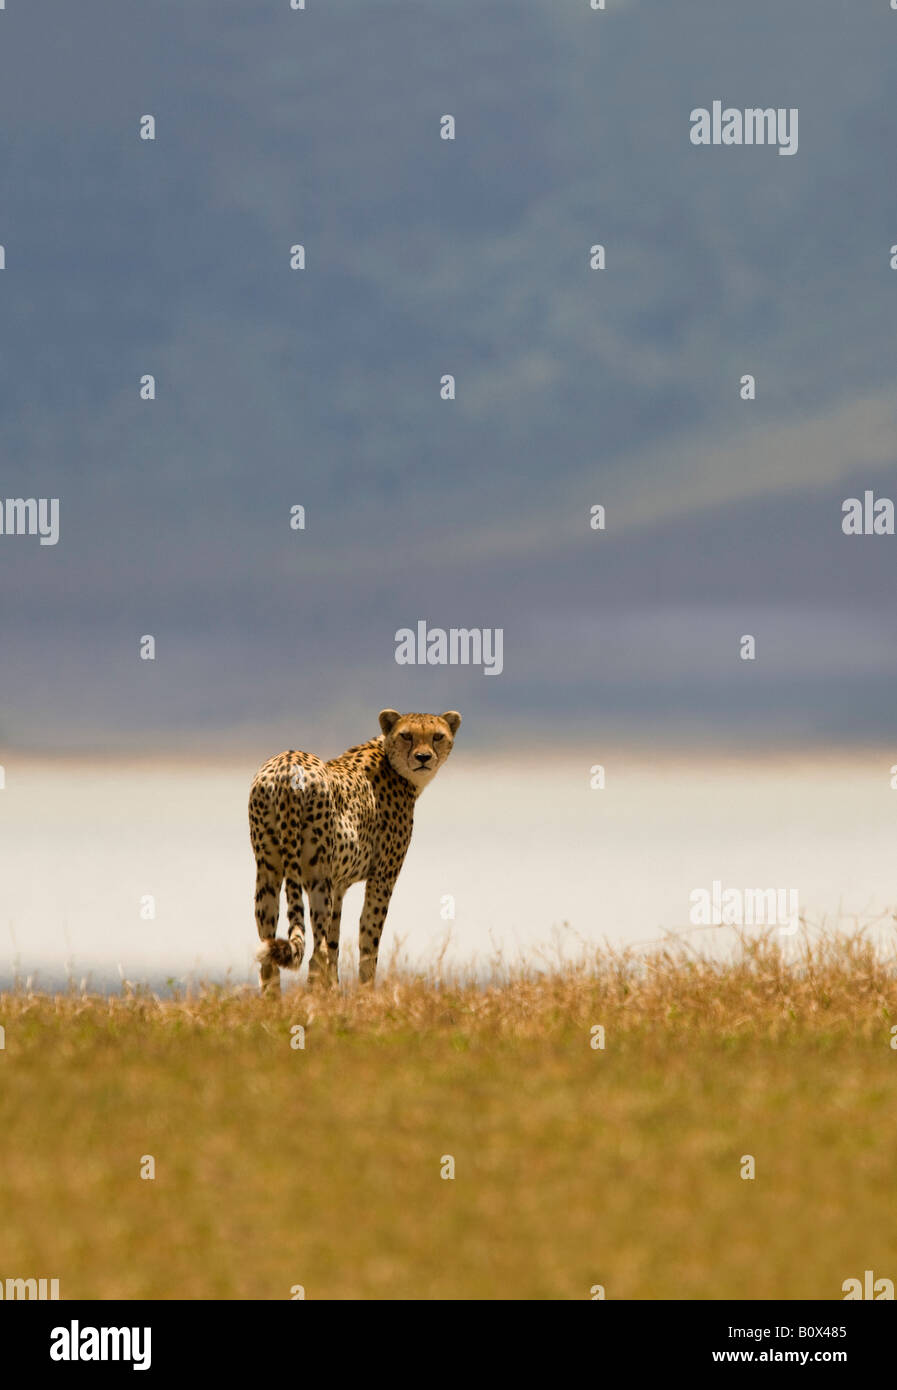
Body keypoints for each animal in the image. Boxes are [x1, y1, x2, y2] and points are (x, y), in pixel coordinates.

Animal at [251, 711, 461, 995]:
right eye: (406, 735)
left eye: (437, 736)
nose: (423, 758)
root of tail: (288, 764)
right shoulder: (381, 879)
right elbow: (368, 937)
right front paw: (365, 995)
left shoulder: (338, 886)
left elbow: (335, 942)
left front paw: (336, 992)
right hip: (317, 878)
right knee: (316, 953)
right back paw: (312, 999)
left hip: (268, 872)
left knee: (269, 954)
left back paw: (275, 1001)